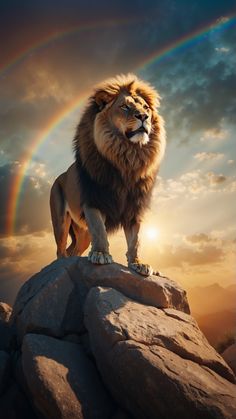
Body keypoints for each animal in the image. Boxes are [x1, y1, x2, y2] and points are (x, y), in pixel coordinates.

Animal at [50, 73, 166, 276]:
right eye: (125, 106)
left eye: (146, 108)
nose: (144, 117)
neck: (128, 157)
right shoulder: (94, 200)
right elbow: (99, 230)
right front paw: (101, 254)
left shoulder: (134, 208)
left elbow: (136, 240)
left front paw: (138, 263)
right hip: (60, 219)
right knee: (60, 249)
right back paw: (62, 264)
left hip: (82, 232)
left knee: (74, 250)